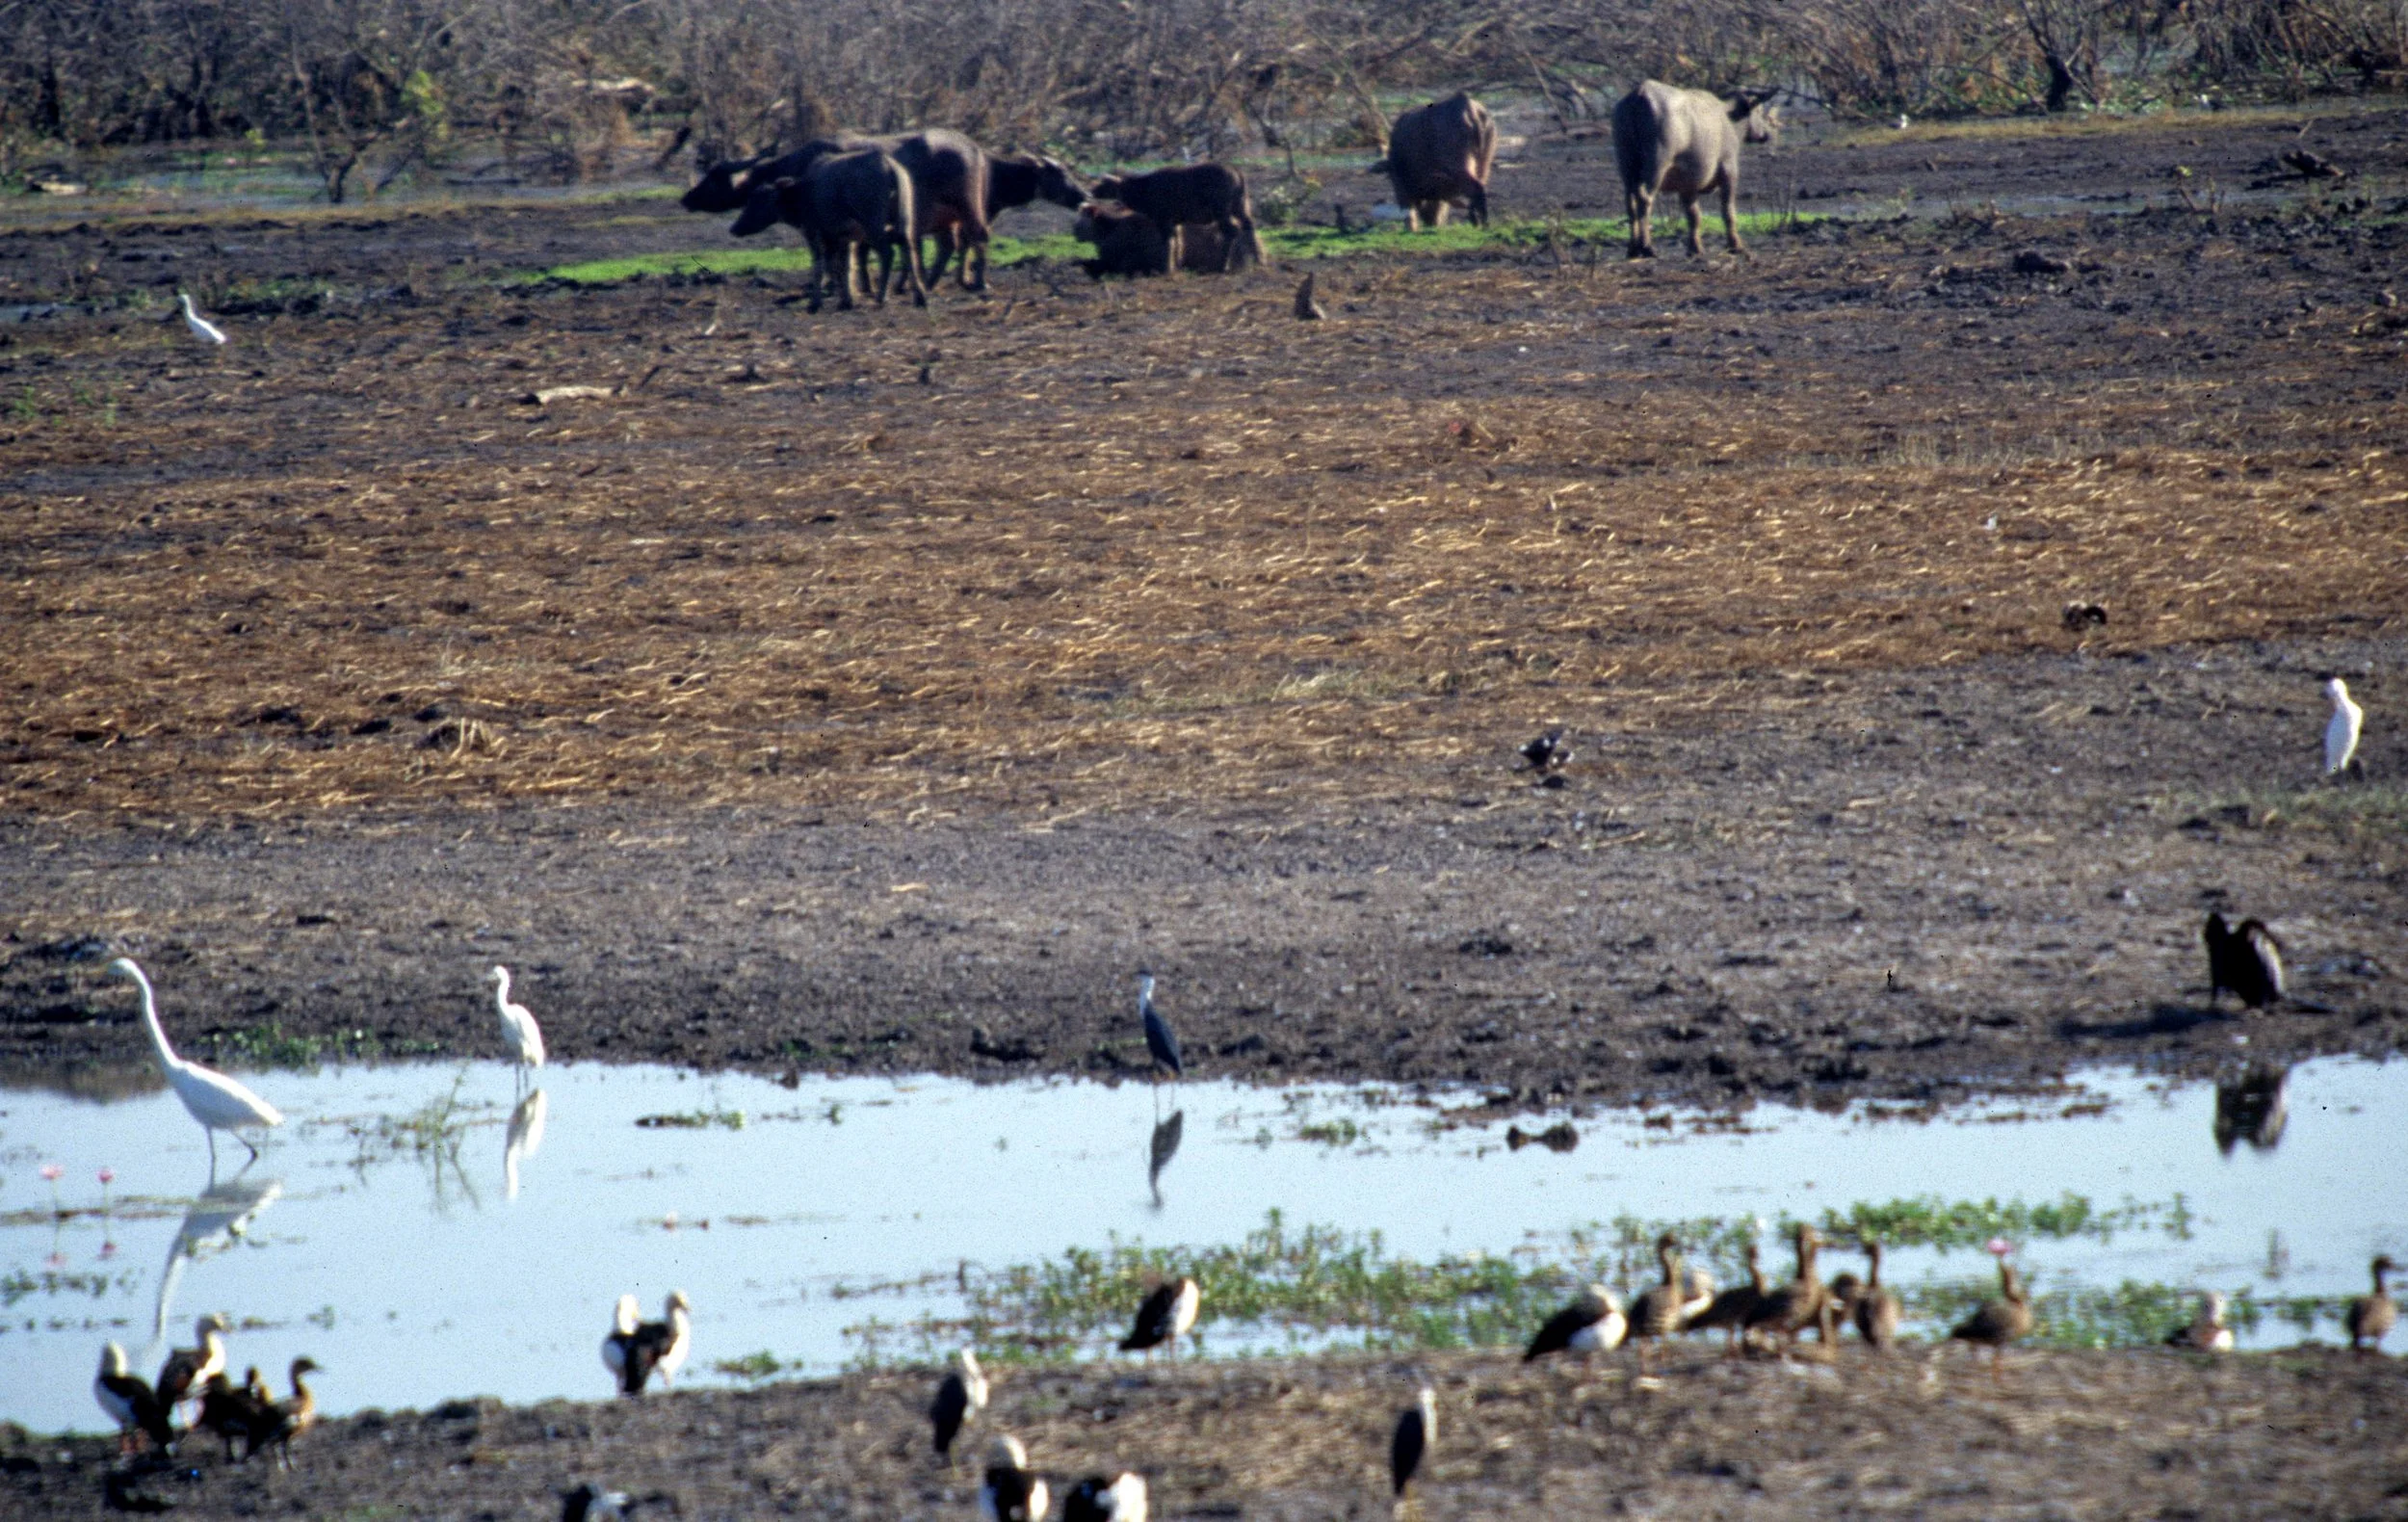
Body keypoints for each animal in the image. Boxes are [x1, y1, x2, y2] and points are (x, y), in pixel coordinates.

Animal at [1085, 164, 1264, 273]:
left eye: (1104, 184)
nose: (1090, 192)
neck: (1144, 190)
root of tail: (1237, 172)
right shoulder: (1175, 222)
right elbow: (1177, 243)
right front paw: (1175, 265)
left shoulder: (1163, 219)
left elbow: (1168, 243)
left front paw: (1166, 268)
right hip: (1240, 207)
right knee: (1248, 225)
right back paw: (1259, 260)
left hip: (1222, 211)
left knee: (1232, 231)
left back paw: (1223, 266)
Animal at [1380, 92, 1496, 229]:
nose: (1432, 223)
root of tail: (1466, 105)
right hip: (1484, 163)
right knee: (1480, 187)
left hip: (1461, 164)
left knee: (1475, 188)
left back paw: (1479, 222)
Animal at [1611, 80, 1778, 258]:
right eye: (1759, 110)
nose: (1767, 133)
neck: (1728, 118)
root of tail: (1640, 93)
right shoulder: (1729, 171)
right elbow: (1728, 211)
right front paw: (1735, 245)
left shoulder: (1687, 185)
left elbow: (1693, 215)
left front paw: (1695, 248)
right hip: (1655, 167)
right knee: (1645, 200)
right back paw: (1647, 247)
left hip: (1627, 167)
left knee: (1630, 203)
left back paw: (1633, 249)